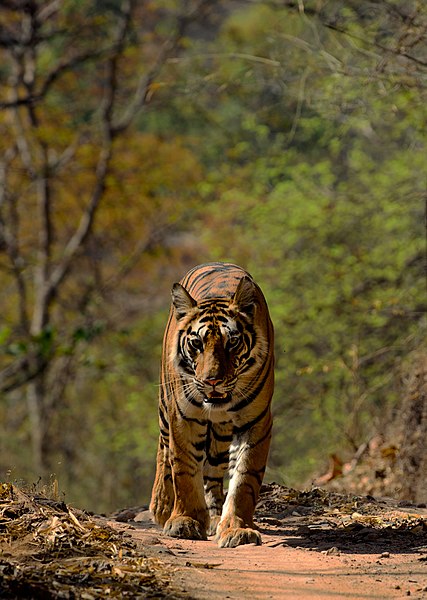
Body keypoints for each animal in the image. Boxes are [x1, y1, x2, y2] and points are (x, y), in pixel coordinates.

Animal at [150, 262, 276, 548]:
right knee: (163, 449)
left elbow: (244, 479)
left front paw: (237, 529)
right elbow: (183, 469)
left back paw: (215, 516)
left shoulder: (256, 421)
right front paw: (184, 521)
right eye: (197, 343)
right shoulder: (181, 417)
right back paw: (161, 506)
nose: (213, 381)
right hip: (164, 408)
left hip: (220, 433)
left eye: (233, 342)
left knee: (213, 471)